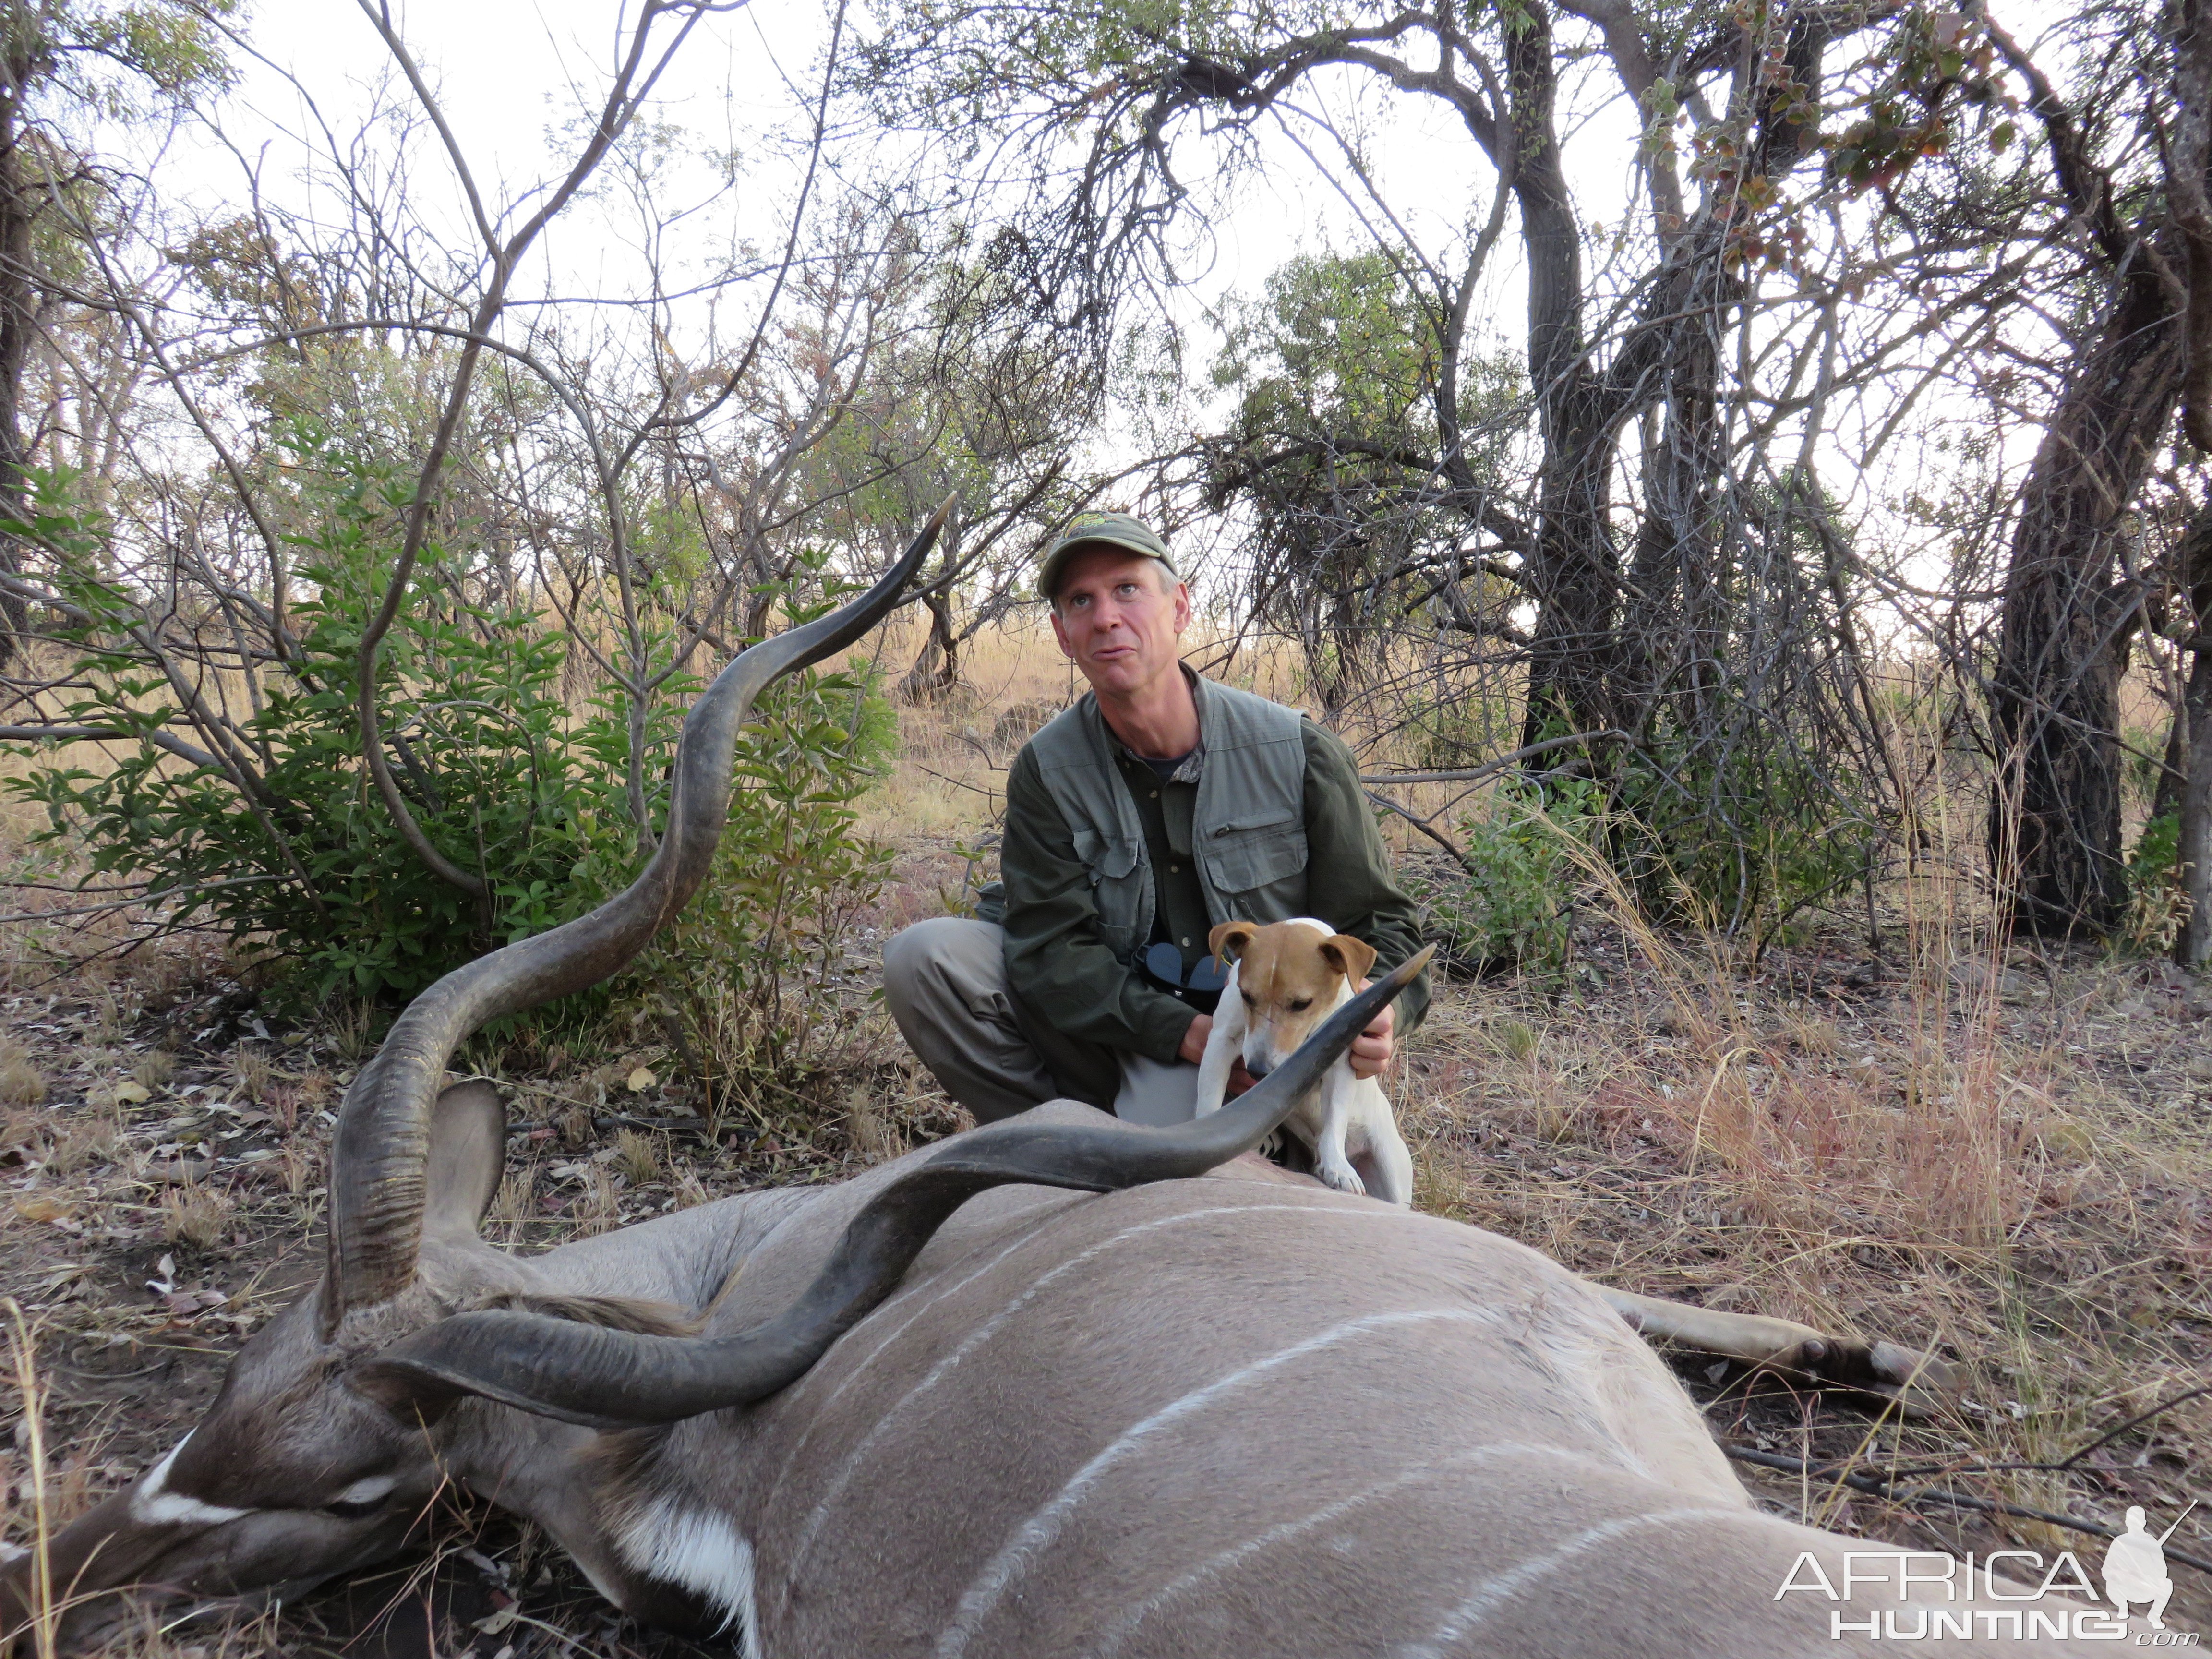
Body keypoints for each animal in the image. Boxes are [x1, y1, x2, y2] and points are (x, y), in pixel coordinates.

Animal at [1194, 915, 1416, 1203]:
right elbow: (1209, 1102)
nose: (1257, 1071)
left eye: (1301, 1004)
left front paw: (1337, 1167)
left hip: (1392, 1175)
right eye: (1247, 996)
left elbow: (1335, 1118)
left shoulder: (1341, 1060)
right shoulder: (1222, 1040)